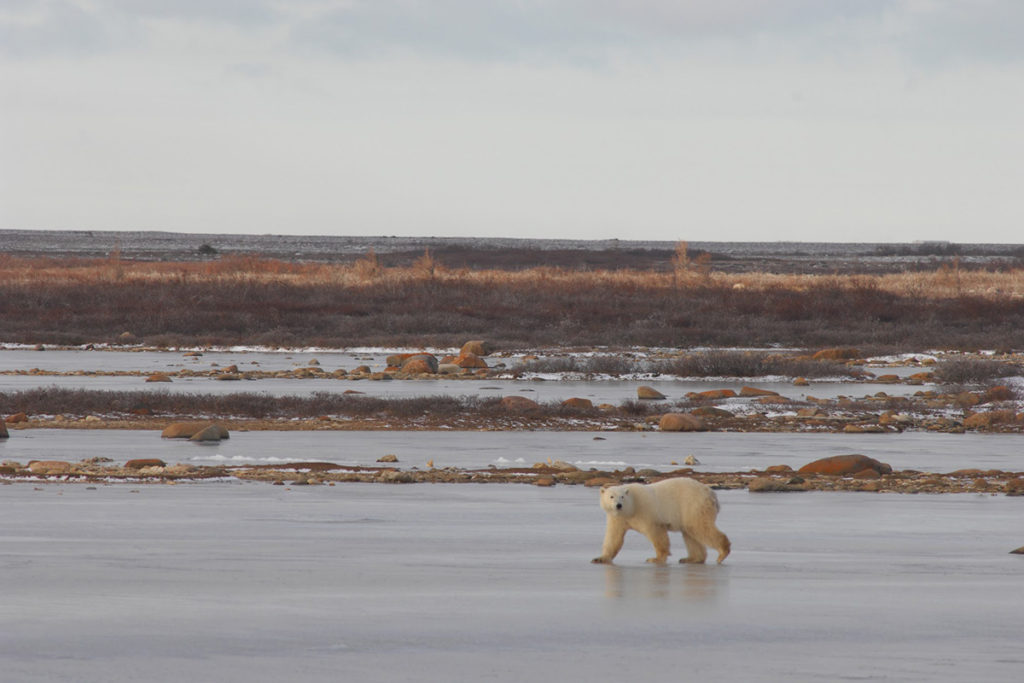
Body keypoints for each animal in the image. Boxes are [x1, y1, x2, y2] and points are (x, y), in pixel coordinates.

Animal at [593, 479, 729, 565]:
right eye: (611, 496)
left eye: (622, 497)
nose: (618, 505)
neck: (632, 507)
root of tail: (711, 493)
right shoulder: (618, 519)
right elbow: (613, 537)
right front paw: (600, 558)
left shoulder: (646, 512)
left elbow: (656, 533)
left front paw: (655, 559)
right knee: (690, 533)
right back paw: (691, 559)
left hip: (693, 505)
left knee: (701, 528)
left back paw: (722, 553)